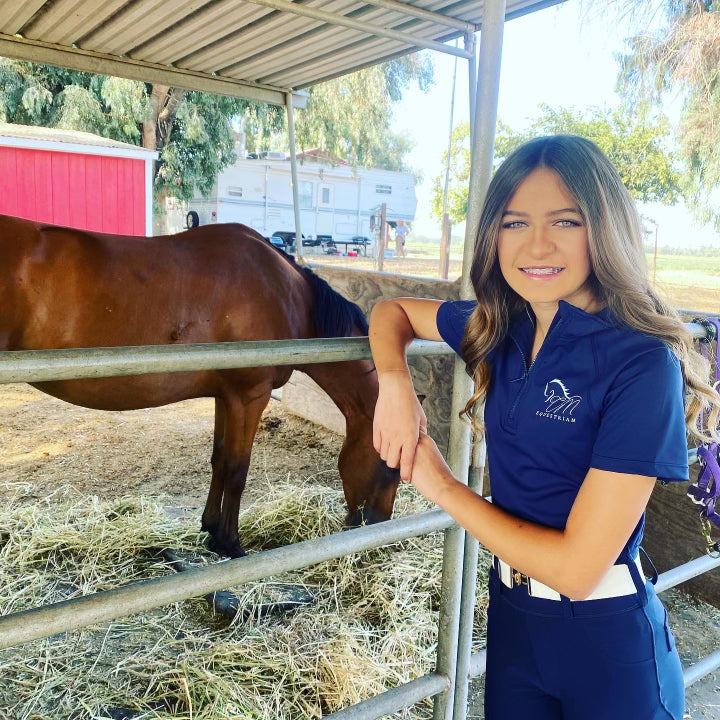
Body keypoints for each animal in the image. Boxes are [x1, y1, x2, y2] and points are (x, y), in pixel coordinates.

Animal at [0, 214, 400, 556]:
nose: (378, 524)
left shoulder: (226, 396)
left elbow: (219, 458)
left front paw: (210, 528)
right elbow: (238, 468)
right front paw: (230, 543)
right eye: (392, 468)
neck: (287, 293)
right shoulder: (250, 397)